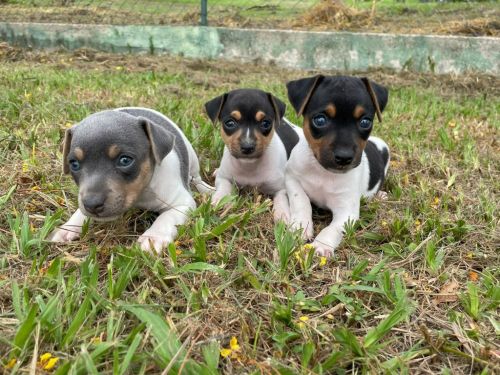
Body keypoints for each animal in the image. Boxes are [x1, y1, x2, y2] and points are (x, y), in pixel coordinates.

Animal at [50, 107, 213, 254]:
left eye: (125, 160)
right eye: (74, 164)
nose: (92, 205)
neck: (141, 194)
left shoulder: (182, 203)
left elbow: (167, 217)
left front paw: (153, 237)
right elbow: (80, 211)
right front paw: (69, 226)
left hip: (192, 159)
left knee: (196, 178)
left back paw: (207, 190)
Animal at [204, 89, 300, 222]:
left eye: (265, 123)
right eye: (230, 123)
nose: (247, 146)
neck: (249, 165)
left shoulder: (281, 188)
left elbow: (282, 198)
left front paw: (282, 213)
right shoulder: (224, 178)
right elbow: (224, 186)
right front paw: (220, 199)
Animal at [286, 75, 390, 258]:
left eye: (365, 122)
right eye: (320, 120)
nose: (344, 157)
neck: (322, 172)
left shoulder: (346, 211)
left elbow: (332, 229)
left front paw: (320, 246)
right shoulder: (291, 178)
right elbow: (301, 200)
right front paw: (300, 226)